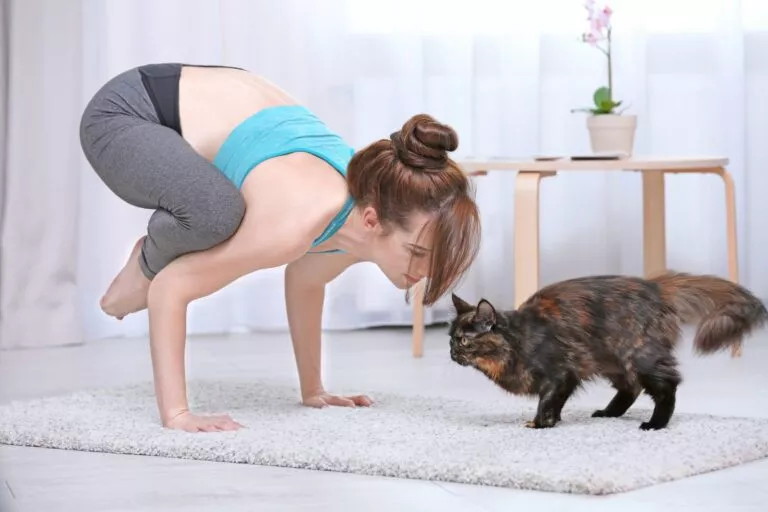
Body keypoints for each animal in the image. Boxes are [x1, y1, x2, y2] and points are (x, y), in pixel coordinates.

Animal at [448, 270, 764, 430]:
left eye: (463, 340)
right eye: (451, 338)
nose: (451, 353)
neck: (519, 341)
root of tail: (654, 286)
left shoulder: (560, 373)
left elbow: (546, 401)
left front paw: (539, 424)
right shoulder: (570, 376)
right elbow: (556, 403)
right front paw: (553, 421)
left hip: (639, 356)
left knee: (666, 388)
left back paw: (655, 424)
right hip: (613, 362)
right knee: (631, 389)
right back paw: (608, 413)